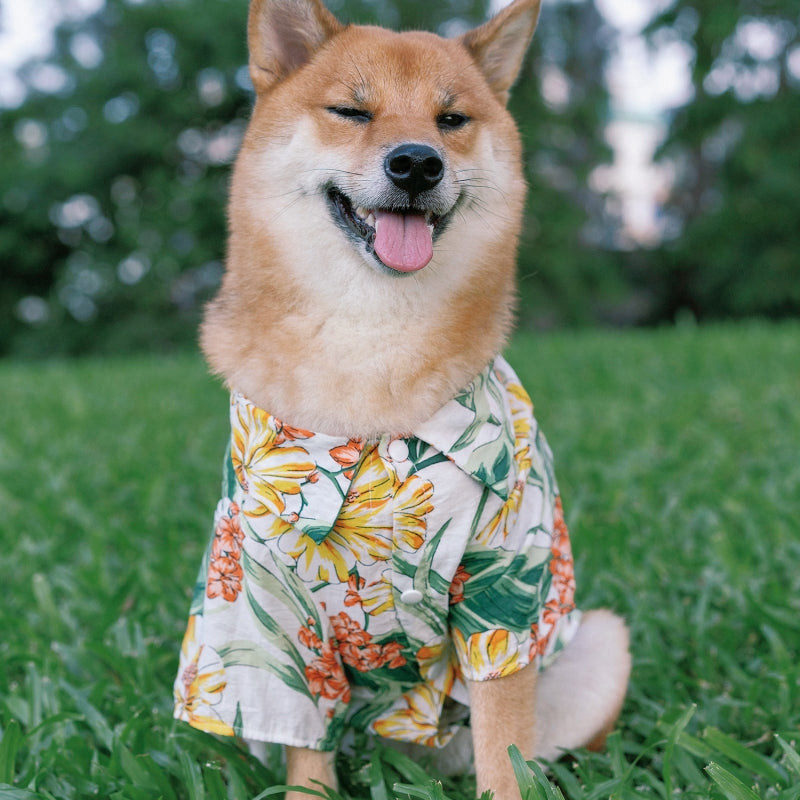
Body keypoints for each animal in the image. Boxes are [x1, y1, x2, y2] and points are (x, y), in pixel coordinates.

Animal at [175, 0, 632, 796]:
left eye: (451, 120)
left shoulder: (502, 593)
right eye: (352, 111)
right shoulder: (265, 608)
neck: (372, 347)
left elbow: (504, 747)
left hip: (596, 650)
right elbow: (305, 745)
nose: (417, 161)